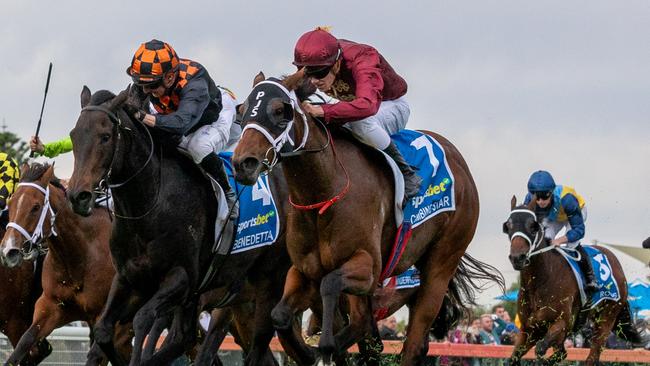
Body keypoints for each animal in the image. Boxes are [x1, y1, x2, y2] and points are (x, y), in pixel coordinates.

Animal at [0, 165, 132, 366]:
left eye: (36, 207)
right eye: (12, 203)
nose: (8, 250)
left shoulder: (109, 316)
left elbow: (96, 354)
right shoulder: (52, 306)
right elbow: (24, 343)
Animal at [233, 72, 502, 366]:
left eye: (280, 111)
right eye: (242, 111)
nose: (243, 163)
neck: (324, 193)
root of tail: (458, 161)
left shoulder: (367, 267)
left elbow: (332, 292)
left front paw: (324, 348)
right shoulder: (304, 270)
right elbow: (281, 317)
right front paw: (313, 350)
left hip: (442, 262)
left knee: (412, 342)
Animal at [502, 197, 636, 366]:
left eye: (533, 227)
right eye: (508, 226)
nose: (517, 258)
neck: (541, 280)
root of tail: (616, 263)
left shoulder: (562, 322)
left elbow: (541, 349)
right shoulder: (529, 329)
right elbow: (514, 358)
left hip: (607, 317)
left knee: (592, 355)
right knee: (564, 353)